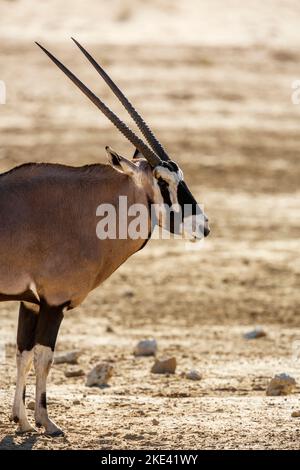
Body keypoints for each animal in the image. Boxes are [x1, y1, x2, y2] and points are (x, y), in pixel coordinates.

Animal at [0, 39, 210, 436]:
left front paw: (21, 420)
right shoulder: (53, 302)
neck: (81, 210)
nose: (202, 226)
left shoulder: (30, 302)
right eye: (163, 181)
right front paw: (47, 422)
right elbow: (44, 356)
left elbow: (22, 354)